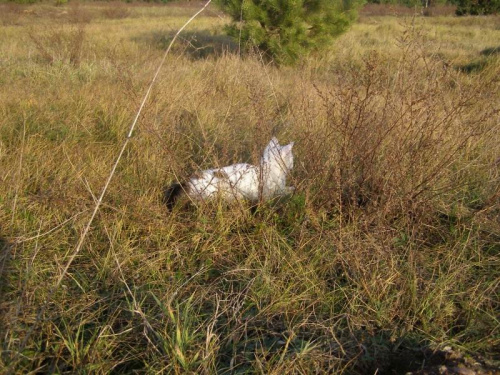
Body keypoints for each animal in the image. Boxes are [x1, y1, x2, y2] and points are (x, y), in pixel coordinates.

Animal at [162, 137, 294, 210]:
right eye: (292, 158)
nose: (293, 165)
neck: (268, 167)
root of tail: (185, 184)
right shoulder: (271, 194)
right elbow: (288, 190)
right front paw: (294, 189)